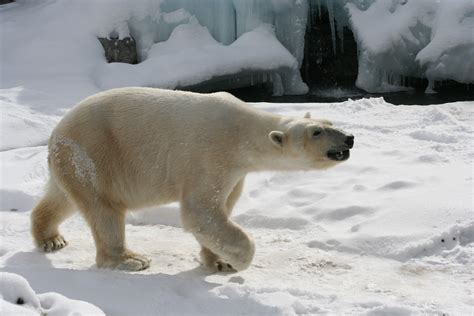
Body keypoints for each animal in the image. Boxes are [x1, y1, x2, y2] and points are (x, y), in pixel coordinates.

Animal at [30, 87, 352, 272]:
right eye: (316, 132)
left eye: (329, 123)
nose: (349, 138)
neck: (242, 132)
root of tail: (56, 132)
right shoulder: (210, 155)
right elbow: (200, 212)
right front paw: (238, 260)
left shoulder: (235, 171)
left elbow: (221, 210)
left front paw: (218, 260)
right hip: (94, 154)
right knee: (104, 210)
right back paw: (130, 259)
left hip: (73, 162)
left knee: (63, 198)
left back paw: (51, 238)